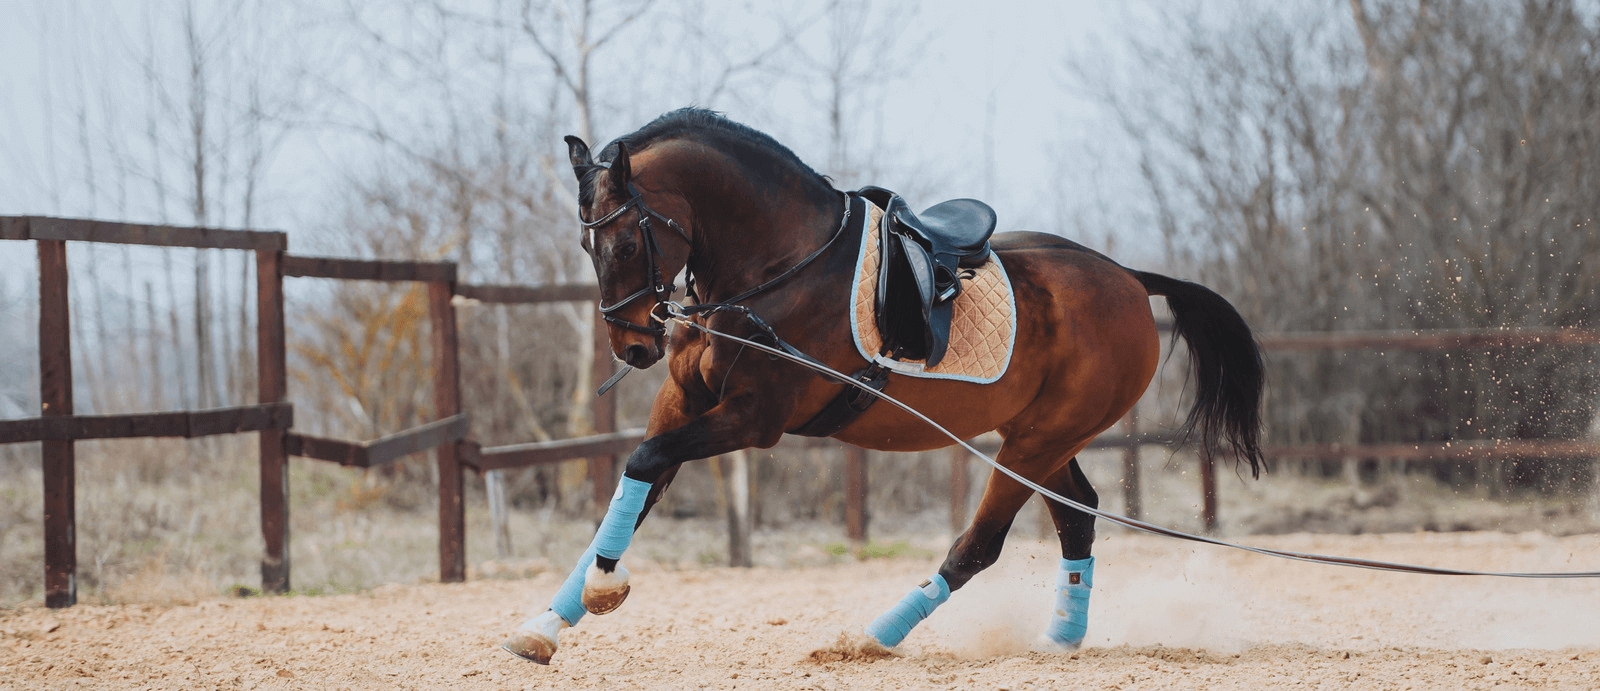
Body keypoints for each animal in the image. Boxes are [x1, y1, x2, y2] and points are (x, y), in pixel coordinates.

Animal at [499, 107, 1260, 665]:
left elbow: (644, 461)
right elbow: (635, 489)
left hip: (1038, 440)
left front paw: (603, 588)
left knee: (980, 545)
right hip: (1040, 437)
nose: (633, 346)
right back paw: (1059, 640)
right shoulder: (681, 403)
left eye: (627, 243)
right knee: (1077, 515)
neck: (775, 269)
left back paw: (874, 637)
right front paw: (548, 621)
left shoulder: (753, 418)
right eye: (587, 246)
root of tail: (1130, 278)